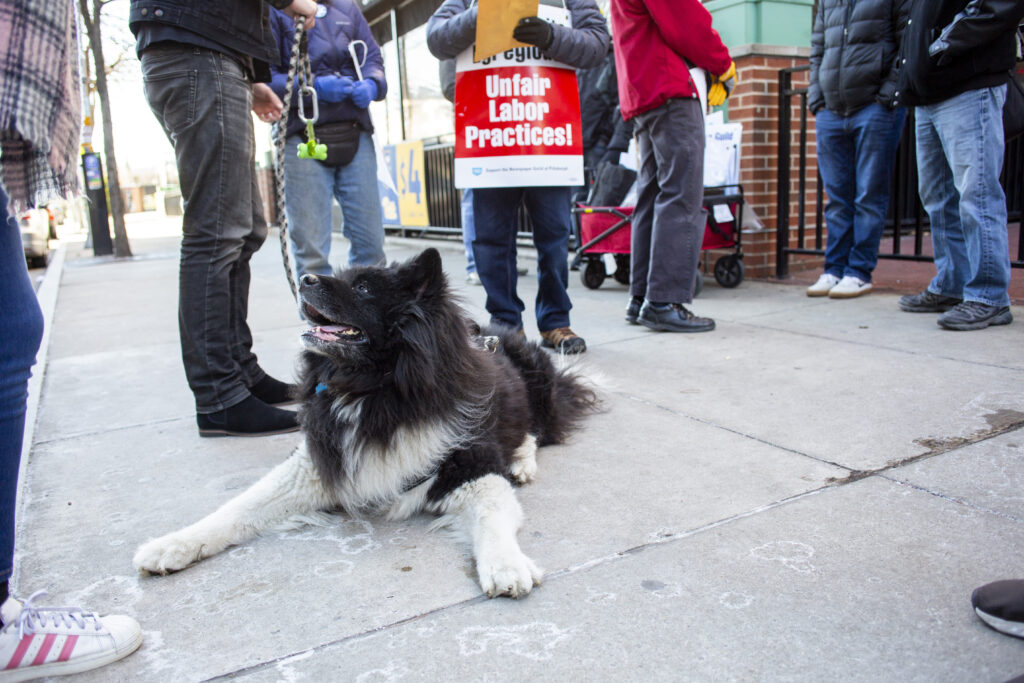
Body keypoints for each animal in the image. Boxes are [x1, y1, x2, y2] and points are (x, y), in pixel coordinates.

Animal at [136, 248, 598, 593]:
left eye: (362, 288)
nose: (304, 278)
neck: (373, 389)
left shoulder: (471, 465)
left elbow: (493, 515)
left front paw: (507, 566)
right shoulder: (320, 462)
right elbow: (238, 507)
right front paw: (172, 544)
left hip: (537, 390)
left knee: (534, 432)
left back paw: (521, 463)